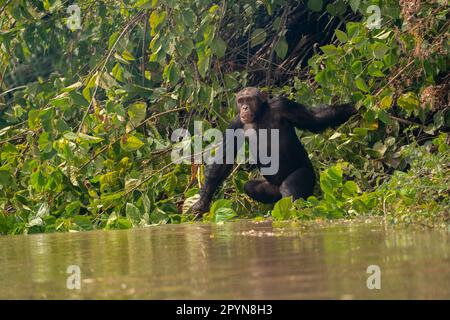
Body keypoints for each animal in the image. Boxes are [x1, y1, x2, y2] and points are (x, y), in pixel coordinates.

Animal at [192, 87, 356, 215]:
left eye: (249, 99)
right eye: (240, 101)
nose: (244, 107)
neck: (259, 115)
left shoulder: (283, 105)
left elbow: (314, 118)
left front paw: (352, 108)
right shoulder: (235, 123)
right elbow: (224, 160)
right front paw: (202, 201)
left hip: (307, 174)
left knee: (289, 187)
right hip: (271, 187)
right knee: (250, 187)